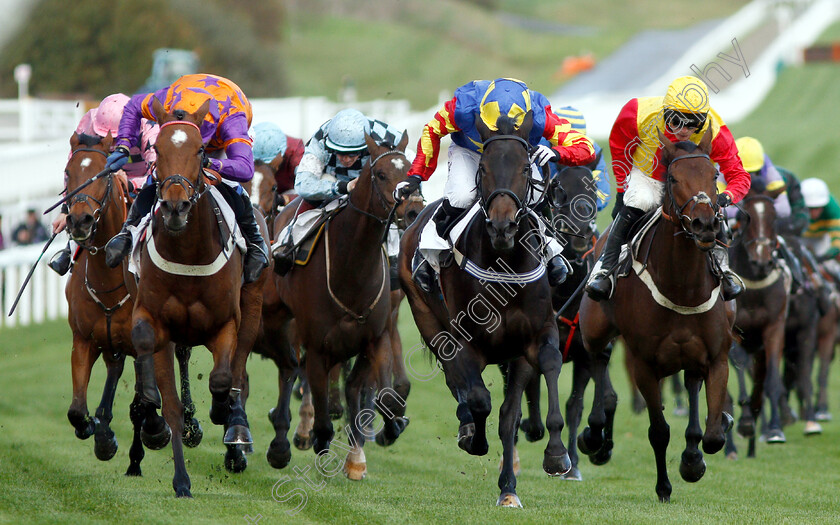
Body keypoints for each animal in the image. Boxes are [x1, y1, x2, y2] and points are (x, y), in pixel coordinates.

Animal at [62, 132, 202, 474]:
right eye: (69, 173)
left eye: (104, 176)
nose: (80, 220)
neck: (107, 282)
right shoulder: (83, 340)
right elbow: (76, 410)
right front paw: (97, 430)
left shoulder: (147, 339)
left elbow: (146, 404)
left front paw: (158, 430)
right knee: (115, 368)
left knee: (179, 357)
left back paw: (186, 425)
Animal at [128, 99, 268, 496]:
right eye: (156, 149)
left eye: (201, 151)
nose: (175, 208)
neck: (189, 251)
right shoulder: (153, 317)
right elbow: (166, 400)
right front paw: (179, 478)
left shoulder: (226, 323)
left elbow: (222, 379)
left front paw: (222, 412)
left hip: (253, 308)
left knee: (238, 370)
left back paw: (235, 430)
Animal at [270, 131, 412, 478]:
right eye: (381, 174)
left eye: (411, 171)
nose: (412, 208)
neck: (352, 270)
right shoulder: (318, 345)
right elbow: (321, 409)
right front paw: (315, 436)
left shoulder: (376, 336)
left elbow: (382, 396)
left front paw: (384, 432)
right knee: (289, 371)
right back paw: (284, 442)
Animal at [400, 111, 572, 508]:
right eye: (484, 169)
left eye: (525, 167)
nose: (503, 226)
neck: (503, 264)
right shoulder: (465, 341)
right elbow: (479, 399)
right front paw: (473, 438)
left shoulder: (533, 338)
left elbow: (527, 393)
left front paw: (552, 458)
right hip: (429, 320)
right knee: (457, 381)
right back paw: (466, 425)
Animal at [576, 130, 736, 500]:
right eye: (674, 178)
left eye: (714, 175)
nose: (706, 225)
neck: (683, 287)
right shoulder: (644, 364)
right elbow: (659, 431)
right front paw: (664, 486)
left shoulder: (716, 357)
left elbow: (712, 436)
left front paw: (694, 459)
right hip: (594, 327)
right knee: (597, 359)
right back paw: (594, 434)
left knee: (691, 385)